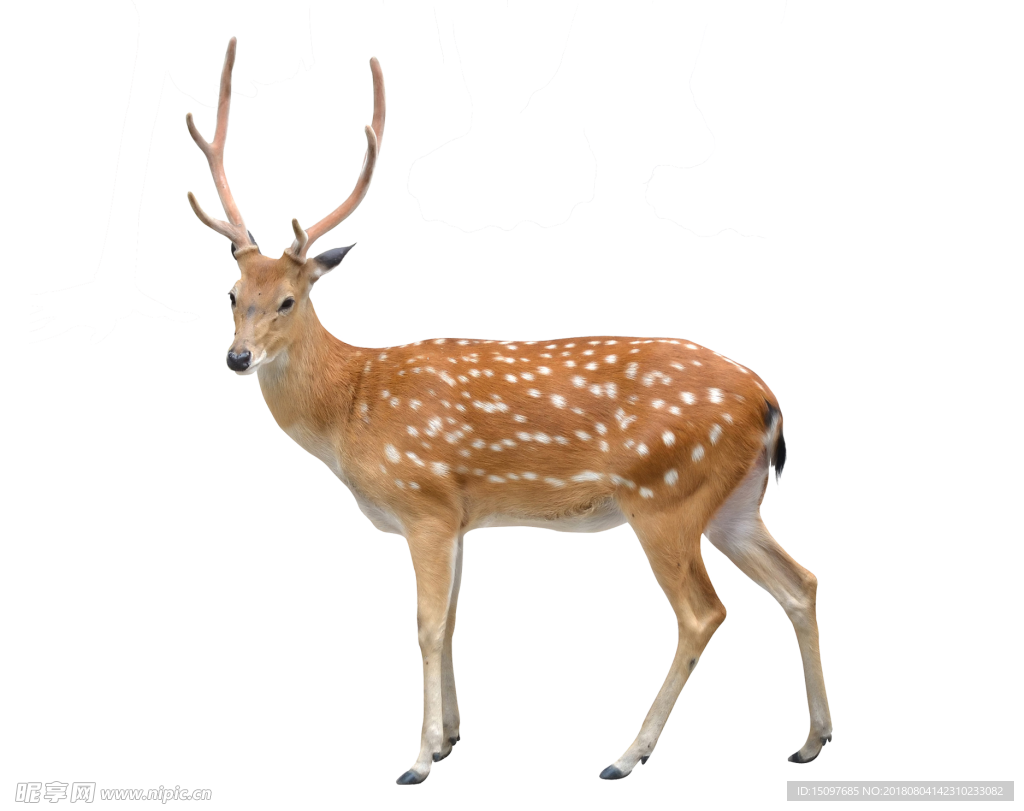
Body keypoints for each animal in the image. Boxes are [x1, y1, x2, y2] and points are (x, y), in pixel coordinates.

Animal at [186, 36, 832, 784]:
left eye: (289, 300)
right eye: (233, 294)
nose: (237, 357)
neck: (352, 406)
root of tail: (769, 400)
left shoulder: (424, 502)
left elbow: (426, 626)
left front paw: (418, 760)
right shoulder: (459, 514)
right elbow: (452, 620)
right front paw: (450, 738)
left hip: (665, 495)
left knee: (703, 612)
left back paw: (625, 756)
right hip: (735, 502)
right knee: (800, 582)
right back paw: (811, 740)